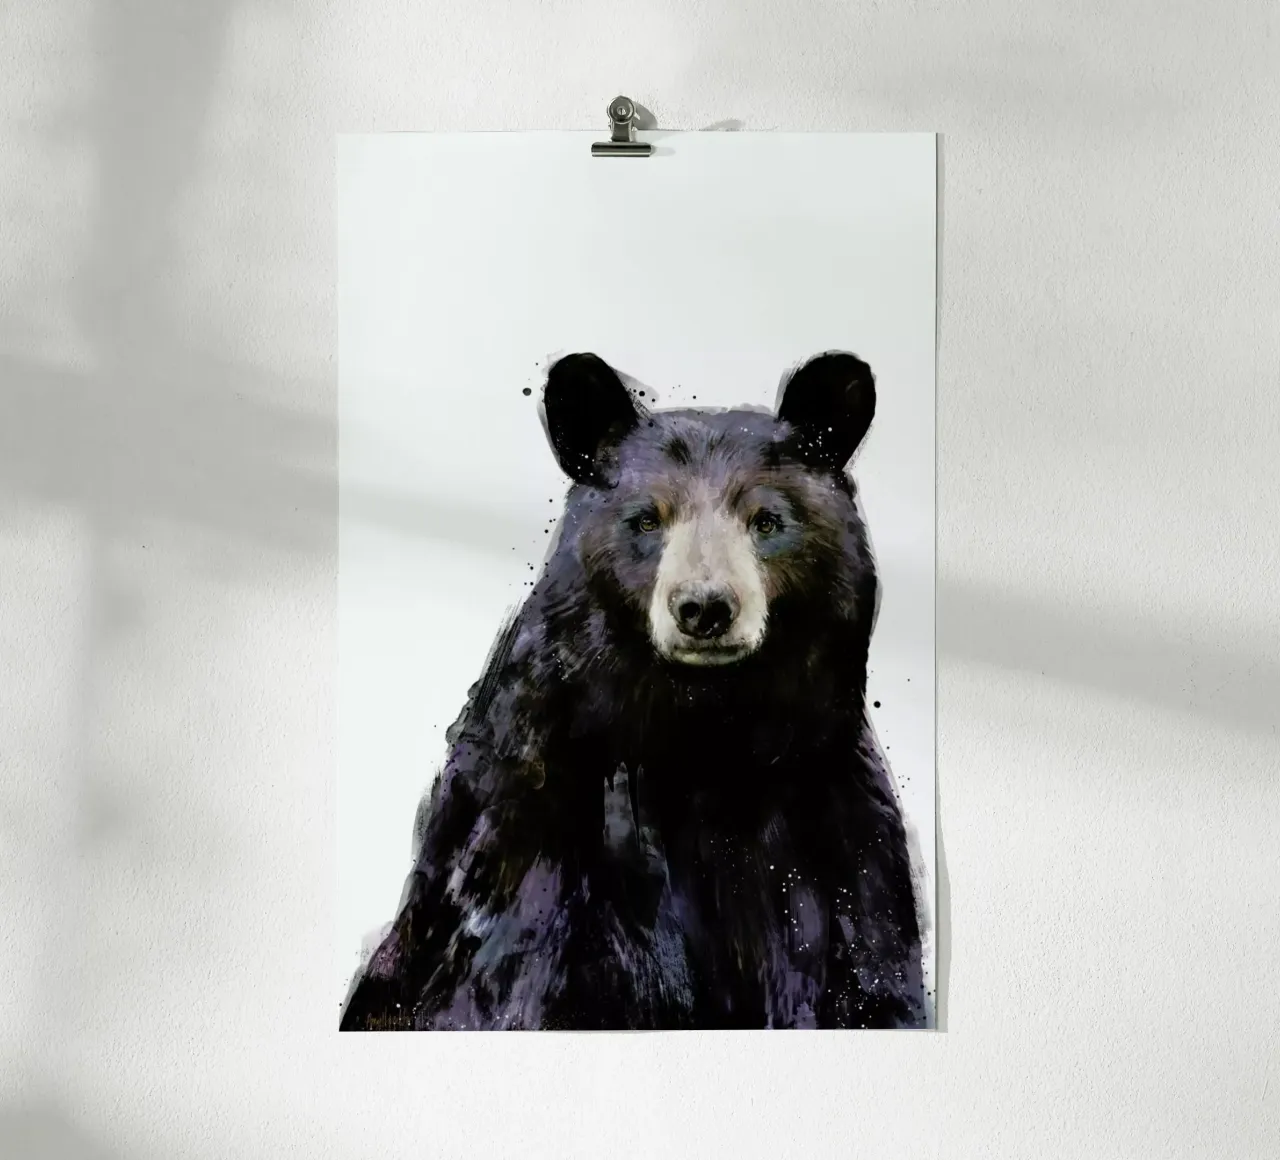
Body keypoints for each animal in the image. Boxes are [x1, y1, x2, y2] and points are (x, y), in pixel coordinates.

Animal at [339, 350, 929, 1030]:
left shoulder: (836, 829)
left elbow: (870, 971)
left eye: (767, 521)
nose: (704, 607)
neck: (704, 735)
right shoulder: (536, 830)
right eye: (647, 519)